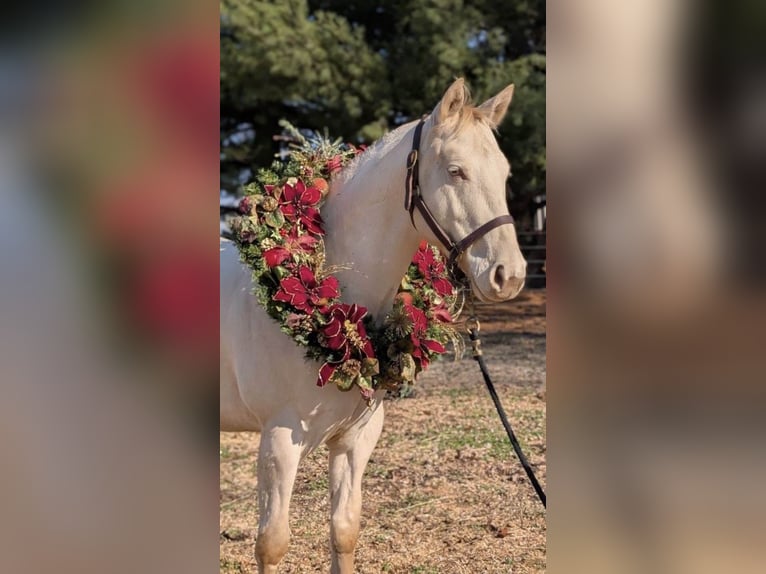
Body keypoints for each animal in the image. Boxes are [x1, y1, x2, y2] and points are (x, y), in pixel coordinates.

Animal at [220, 78, 527, 574]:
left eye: (504, 174)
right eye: (455, 171)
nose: (509, 276)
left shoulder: (355, 440)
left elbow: (344, 531)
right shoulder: (279, 441)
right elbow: (271, 543)